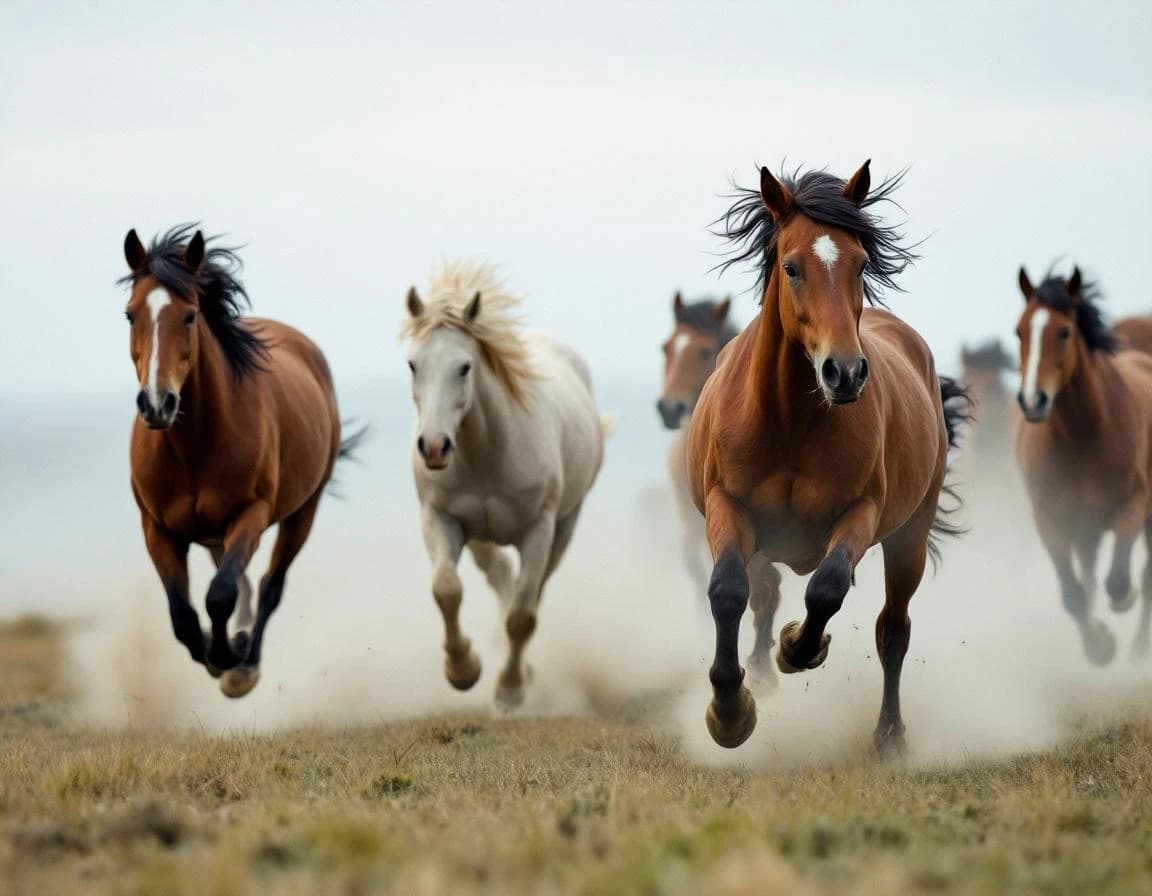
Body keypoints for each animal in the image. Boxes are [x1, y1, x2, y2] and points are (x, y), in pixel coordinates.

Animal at [123, 225, 362, 698]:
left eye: (190, 316)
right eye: (129, 315)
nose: (158, 403)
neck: (193, 448)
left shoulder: (251, 514)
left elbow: (220, 595)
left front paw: (231, 659)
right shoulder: (156, 528)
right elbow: (183, 615)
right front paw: (214, 652)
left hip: (301, 513)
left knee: (269, 585)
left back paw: (246, 658)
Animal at [402, 262, 607, 708]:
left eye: (464, 366)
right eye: (413, 365)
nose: (434, 447)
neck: (489, 453)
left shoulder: (539, 530)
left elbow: (522, 616)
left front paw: (510, 690)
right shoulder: (441, 517)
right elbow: (447, 589)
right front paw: (463, 670)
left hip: (563, 528)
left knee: (530, 593)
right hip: (481, 537)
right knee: (500, 577)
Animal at [686, 161, 968, 752]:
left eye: (860, 264)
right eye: (791, 267)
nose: (845, 371)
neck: (790, 422)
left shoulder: (861, 513)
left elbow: (827, 587)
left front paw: (799, 646)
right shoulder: (728, 506)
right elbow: (728, 591)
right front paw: (730, 712)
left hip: (909, 536)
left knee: (894, 629)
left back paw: (889, 736)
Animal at [1014, 266, 1152, 663]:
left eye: (1064, 332)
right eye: (1019, 331)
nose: (1033, 400)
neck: (1084, 439)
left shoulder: (1132, 504)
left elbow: (1119, 582)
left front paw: (1120, 608)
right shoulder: (1050, 519)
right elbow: (1074, 595)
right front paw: (1100, 647)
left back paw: (1139, 652)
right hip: (1084, 531)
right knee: (1088, 577)